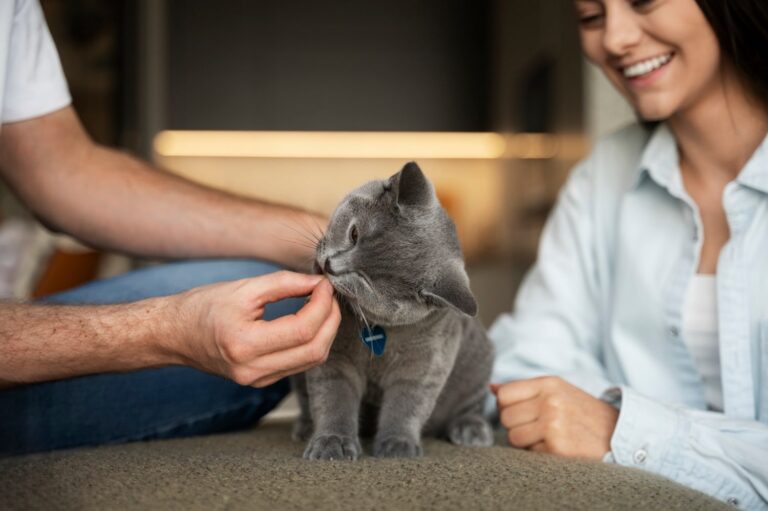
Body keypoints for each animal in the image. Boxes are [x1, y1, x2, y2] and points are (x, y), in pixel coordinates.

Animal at [292, 163, 496, 460]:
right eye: (354, 234)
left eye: (367, 281)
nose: (330, 265)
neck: (378, 334)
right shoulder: (337, 357)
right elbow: (334, 398)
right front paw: (332, 443)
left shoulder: (424, 364)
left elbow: (405, 405)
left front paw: (397, 445)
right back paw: (305, 427)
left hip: (479, 363)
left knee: (473, 405)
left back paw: (471, 430)